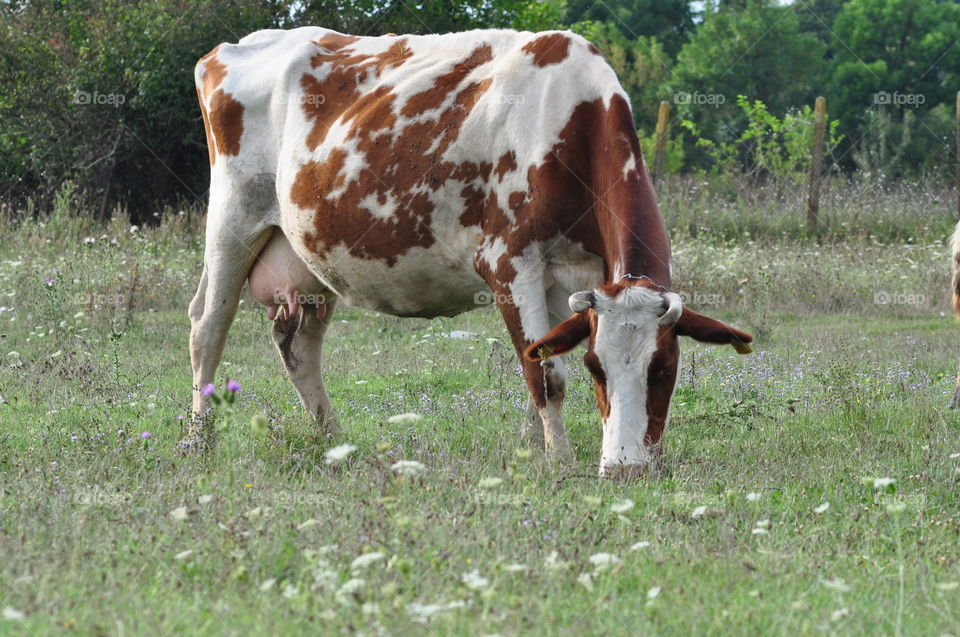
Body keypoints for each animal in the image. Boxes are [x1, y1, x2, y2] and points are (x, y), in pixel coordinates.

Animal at [188, 26, 754, 477]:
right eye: (597, 367)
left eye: (664, 368)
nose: (625, 468)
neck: (570, 121)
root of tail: (229, 48)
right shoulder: (509, 263)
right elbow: (546, 375)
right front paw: (561, 463)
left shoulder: (573, 278)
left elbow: (539, 355)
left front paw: (534, 452)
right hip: (231, 222)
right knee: (207, 328)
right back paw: (199, 441)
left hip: (310, 254)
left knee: (299, 347)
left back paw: (335, 443)